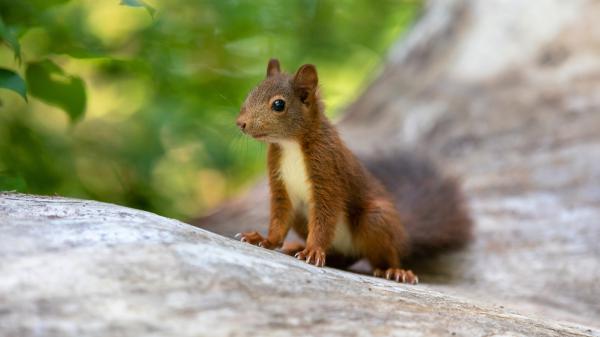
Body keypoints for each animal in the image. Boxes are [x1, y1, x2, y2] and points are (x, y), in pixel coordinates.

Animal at [234, 59, 474, 282]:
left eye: (278, 105)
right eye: (251, 93)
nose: (240, 123)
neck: (290, 145)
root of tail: (404, 235)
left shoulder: (327, 173)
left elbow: (324, 218)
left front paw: (313, 250)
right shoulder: (280, 184)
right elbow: (279, 218)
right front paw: (265, 240)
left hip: (376, 220)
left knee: (385, 255)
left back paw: (395, 271)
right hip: (302, 218)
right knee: (340, 257)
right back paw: (298, 247)